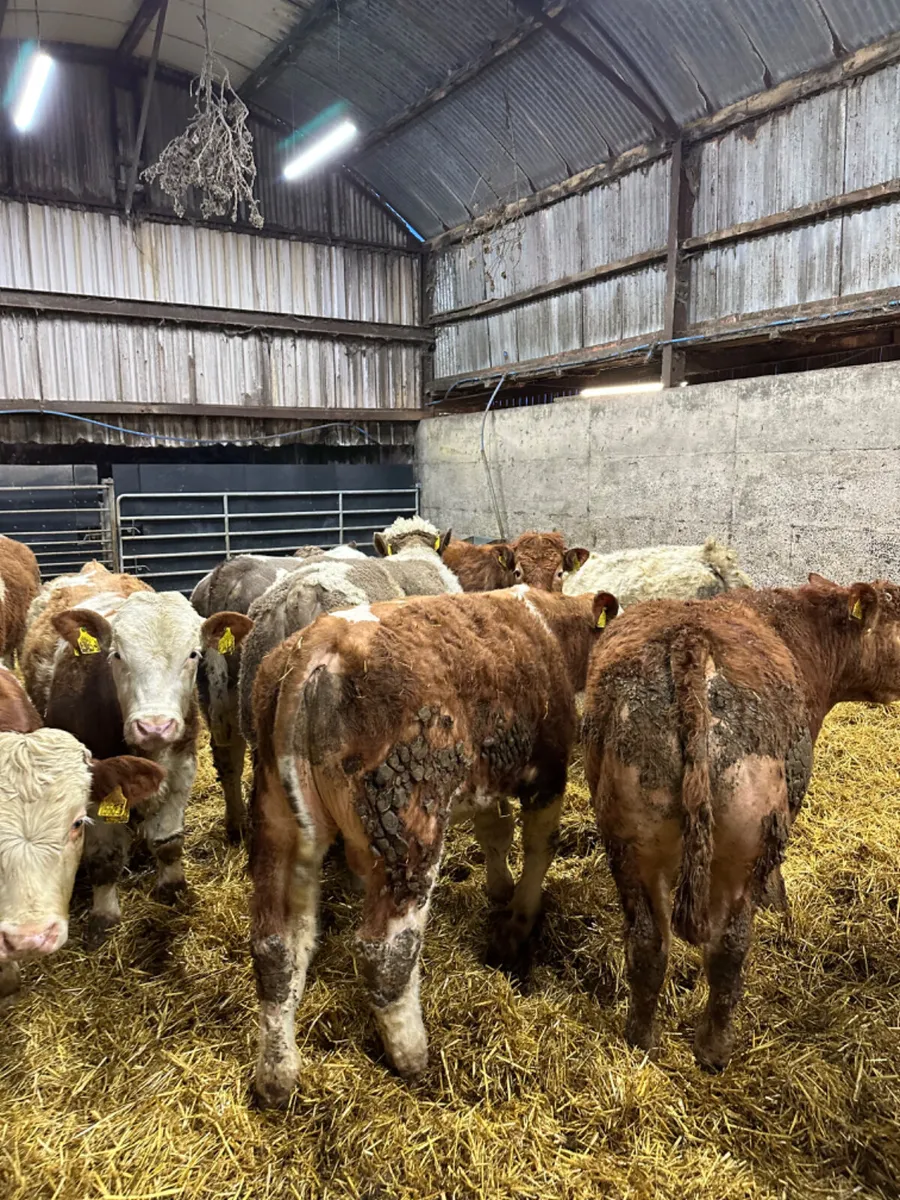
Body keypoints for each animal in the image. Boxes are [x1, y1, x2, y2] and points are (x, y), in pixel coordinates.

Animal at [23, 576, 236, 946]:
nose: (154, 726)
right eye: (117, 655)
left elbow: (169, 842)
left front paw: (173, 887)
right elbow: (104, 859)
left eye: (193, 654)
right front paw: (104, 916)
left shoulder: (182, 769)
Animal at [248, 584, 617, 1106]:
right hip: (408, 824)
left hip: (277, 818)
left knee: (276, 946)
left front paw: (500, 890)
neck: (548, 626)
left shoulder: (487, 777)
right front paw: (518, 921)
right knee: (385, 951)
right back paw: (414, 1057)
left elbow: (494, 833)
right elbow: (540, 846)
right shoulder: (548, 770)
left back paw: (277, 1076)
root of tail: (321, 643)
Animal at [582, 573, 900, 1072]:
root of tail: (690, 642)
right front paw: (777, 902)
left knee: (650, 943)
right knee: (729, 946)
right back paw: (714, 1049)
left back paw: (642, 1039)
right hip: (748, 839)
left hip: (630, 835)